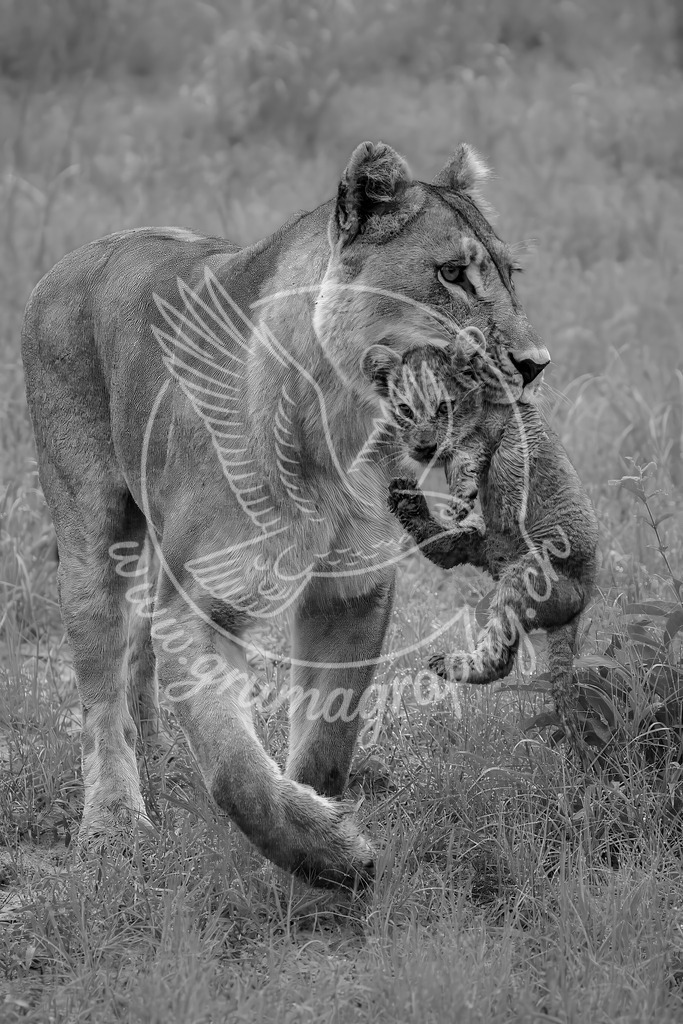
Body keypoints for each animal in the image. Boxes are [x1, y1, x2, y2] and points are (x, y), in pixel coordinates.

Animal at [21, 140, 550, 889]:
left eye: (509, 274)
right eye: (451, 274)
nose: (535, 364)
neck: (334, 427)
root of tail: (80, 254)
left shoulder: (351, 589)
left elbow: (327, 738)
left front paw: (317, 846)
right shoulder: (203, 607)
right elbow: (234, 768)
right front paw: (335, 856)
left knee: (138, 655)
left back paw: (158, 765)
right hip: (90, 532)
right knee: (102, 688)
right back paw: (115, 822)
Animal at [379, 341, 599, 751]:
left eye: (441, 407)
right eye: (405, 410)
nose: (421, 445)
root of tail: (581, 604)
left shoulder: (489, 435)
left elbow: (467, 457)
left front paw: (458, 497)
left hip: (526, 576)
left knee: (500, 658)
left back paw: (448, 664)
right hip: (483, 543)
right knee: (447, 551)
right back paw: (406, 499)